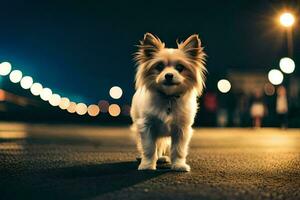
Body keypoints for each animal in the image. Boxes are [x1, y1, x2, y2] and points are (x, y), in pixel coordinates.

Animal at [130, 32, 205, 172]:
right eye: (159, 66)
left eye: (180, 67)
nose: (169, 75)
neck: (168, 97)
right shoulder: (146, 126)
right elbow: (149, 148)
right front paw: (147, 165)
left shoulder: (182, 130)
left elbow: (178, 150)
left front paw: (179, 165)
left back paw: (160, 158)